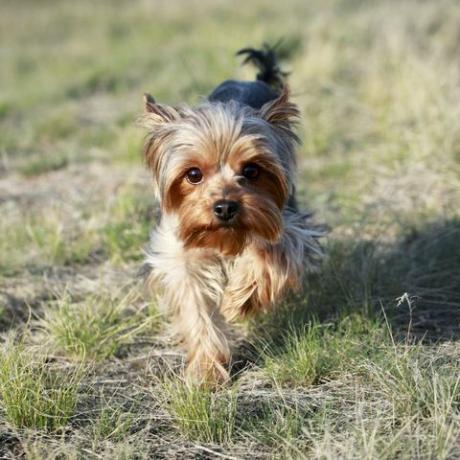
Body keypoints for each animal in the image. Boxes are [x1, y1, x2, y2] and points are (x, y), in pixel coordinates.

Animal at [140, 45, 324, 384]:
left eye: (251, 170)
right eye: (193, 174)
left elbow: (271, 251)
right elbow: (196, 306)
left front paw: (240, 300)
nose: (225, 207)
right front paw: (206, 370)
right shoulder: (180, 254)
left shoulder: (288, 226)